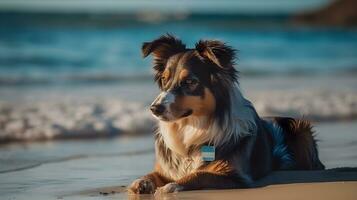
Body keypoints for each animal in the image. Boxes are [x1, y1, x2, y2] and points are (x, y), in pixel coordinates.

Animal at [129, 34, 326, 195]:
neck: (191, 128)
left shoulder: (235, 175)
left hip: (303, 131)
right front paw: (142, 182)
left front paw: (172, 185)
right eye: (164, 79)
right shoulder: (165, 169)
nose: (154, 109)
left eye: (190, 81)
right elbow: (152, 174)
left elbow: (199, 174)